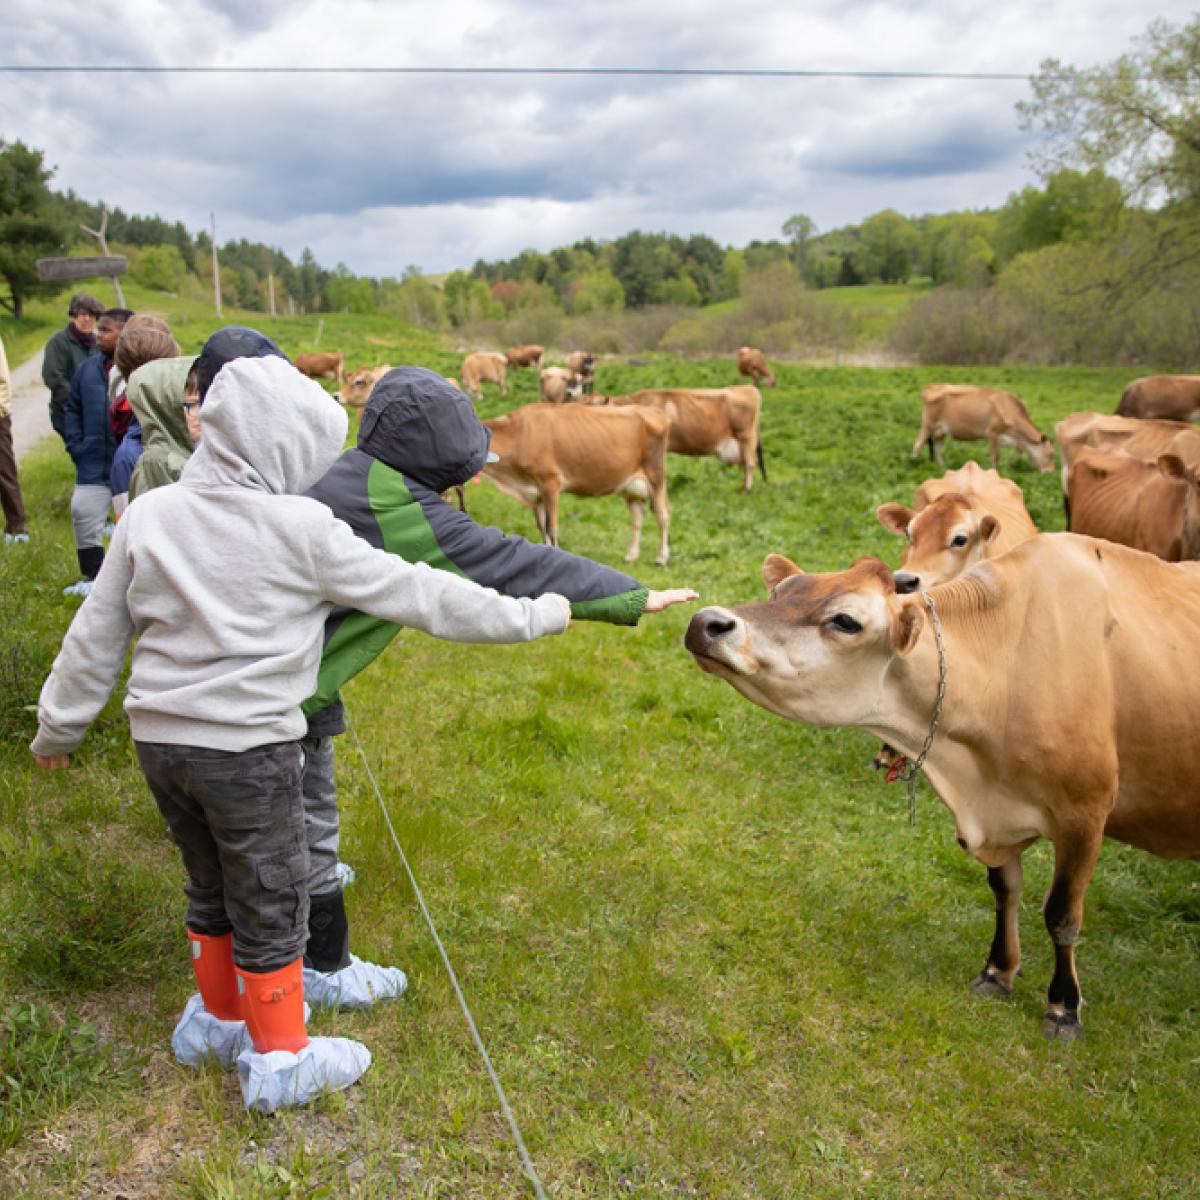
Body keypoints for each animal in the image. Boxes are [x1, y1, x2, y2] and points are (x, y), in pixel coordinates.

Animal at [686, 537, 1200, 1041]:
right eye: (779, 592)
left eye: (846, 621)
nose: (705, 621)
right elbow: (1004, 889)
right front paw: (998, 971)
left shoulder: (1086, 811)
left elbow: (1062, 915)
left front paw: (1063, 1007)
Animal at [912, 386, 1056, 475]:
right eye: (1051, 454)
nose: (1051, 471)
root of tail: (931, 387)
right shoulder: (992, 433)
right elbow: (996, 456)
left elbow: (1018, 453)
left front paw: (1013, 465)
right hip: (928, 425)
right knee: (918, 444)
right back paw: (914, 463)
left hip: (940, 431)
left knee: (937, 449)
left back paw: (943, 468)